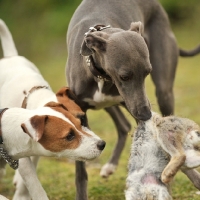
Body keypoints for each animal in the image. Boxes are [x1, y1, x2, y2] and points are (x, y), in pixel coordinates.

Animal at [0, 19, 106, 200]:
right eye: (69, 136)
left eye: (82, 119)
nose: (101, 144)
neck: (35, 95)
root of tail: (10, 57)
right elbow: (30, 176)